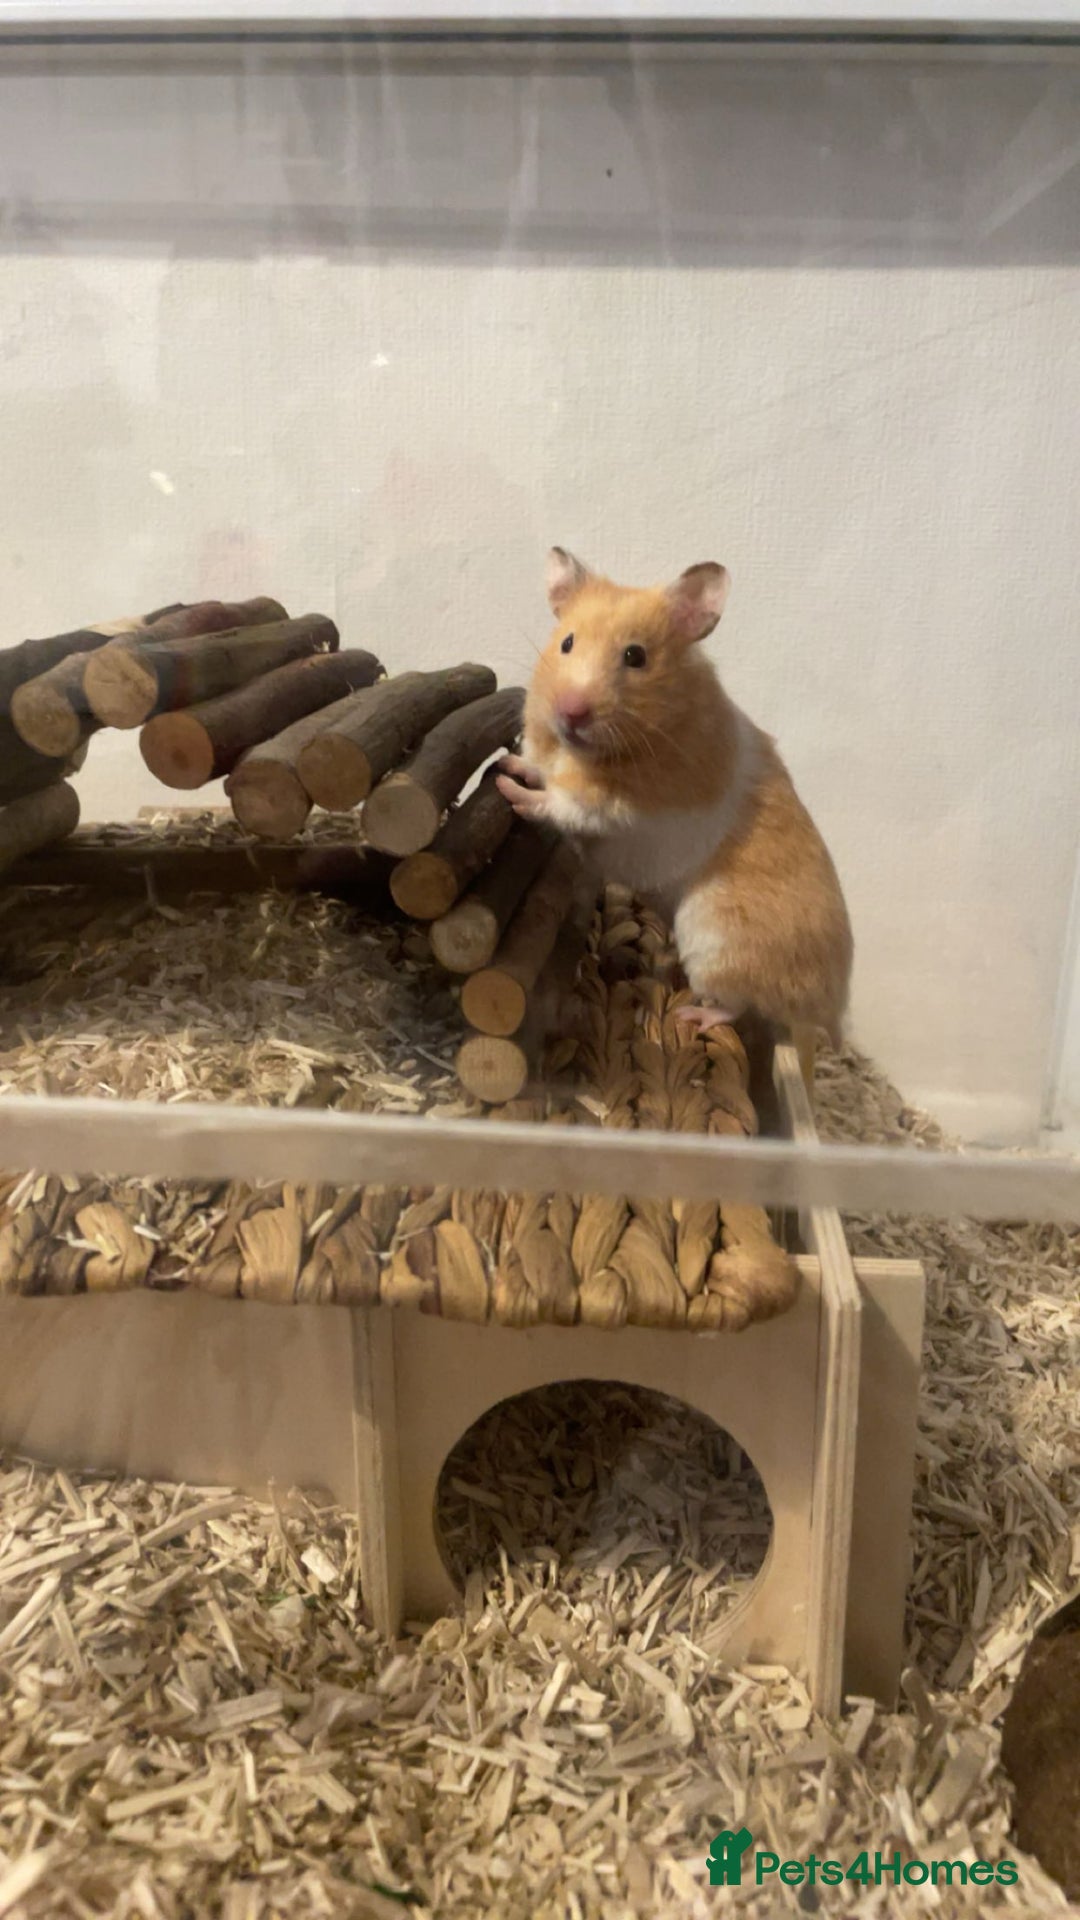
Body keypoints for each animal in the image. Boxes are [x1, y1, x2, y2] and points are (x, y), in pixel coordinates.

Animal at [495, 548, 853, 1048]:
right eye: (566, 642)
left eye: (636, 656)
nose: (571, 711)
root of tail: (831, 1010)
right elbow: (540, 773)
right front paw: (511, 765)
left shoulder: (624, 806)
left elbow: (564, 804)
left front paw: (508, 790)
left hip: (716, 938)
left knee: (736, 1004)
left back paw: (693, 1015)